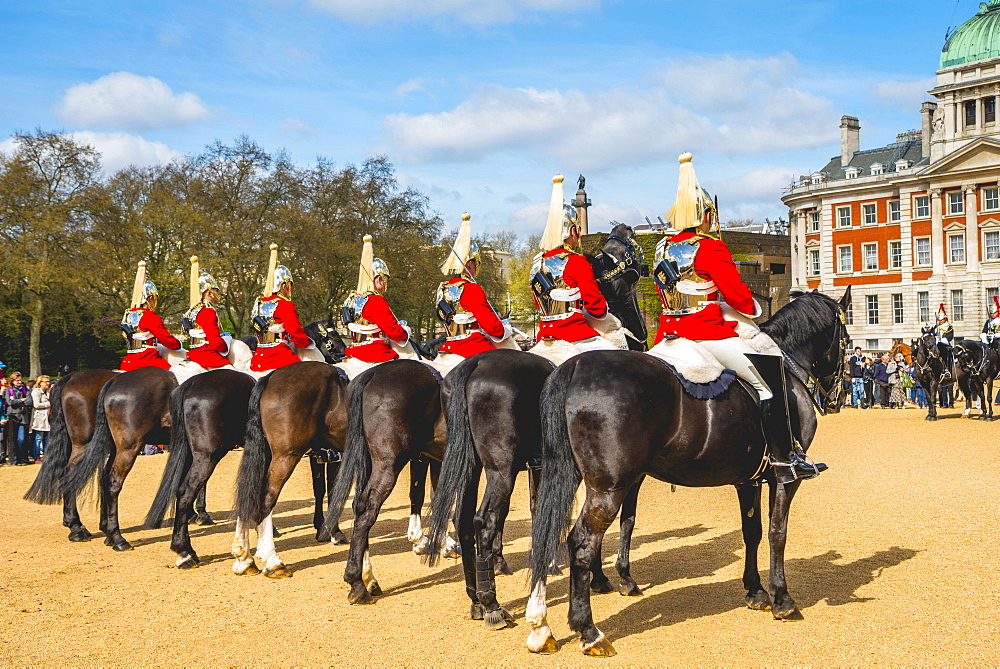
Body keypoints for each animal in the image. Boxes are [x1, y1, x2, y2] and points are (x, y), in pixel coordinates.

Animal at [528, 288, 848, 652]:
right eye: (845, 338)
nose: (837, 397)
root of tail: (577, 365)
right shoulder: (784, 479)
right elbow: (777, 532)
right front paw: (782, 599)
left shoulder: (749, 480)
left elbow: (751, 532)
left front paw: (755, 591)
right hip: (609, 487)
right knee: (581, 541)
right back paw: (588, 630)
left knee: (547, 533)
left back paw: (541, 627)